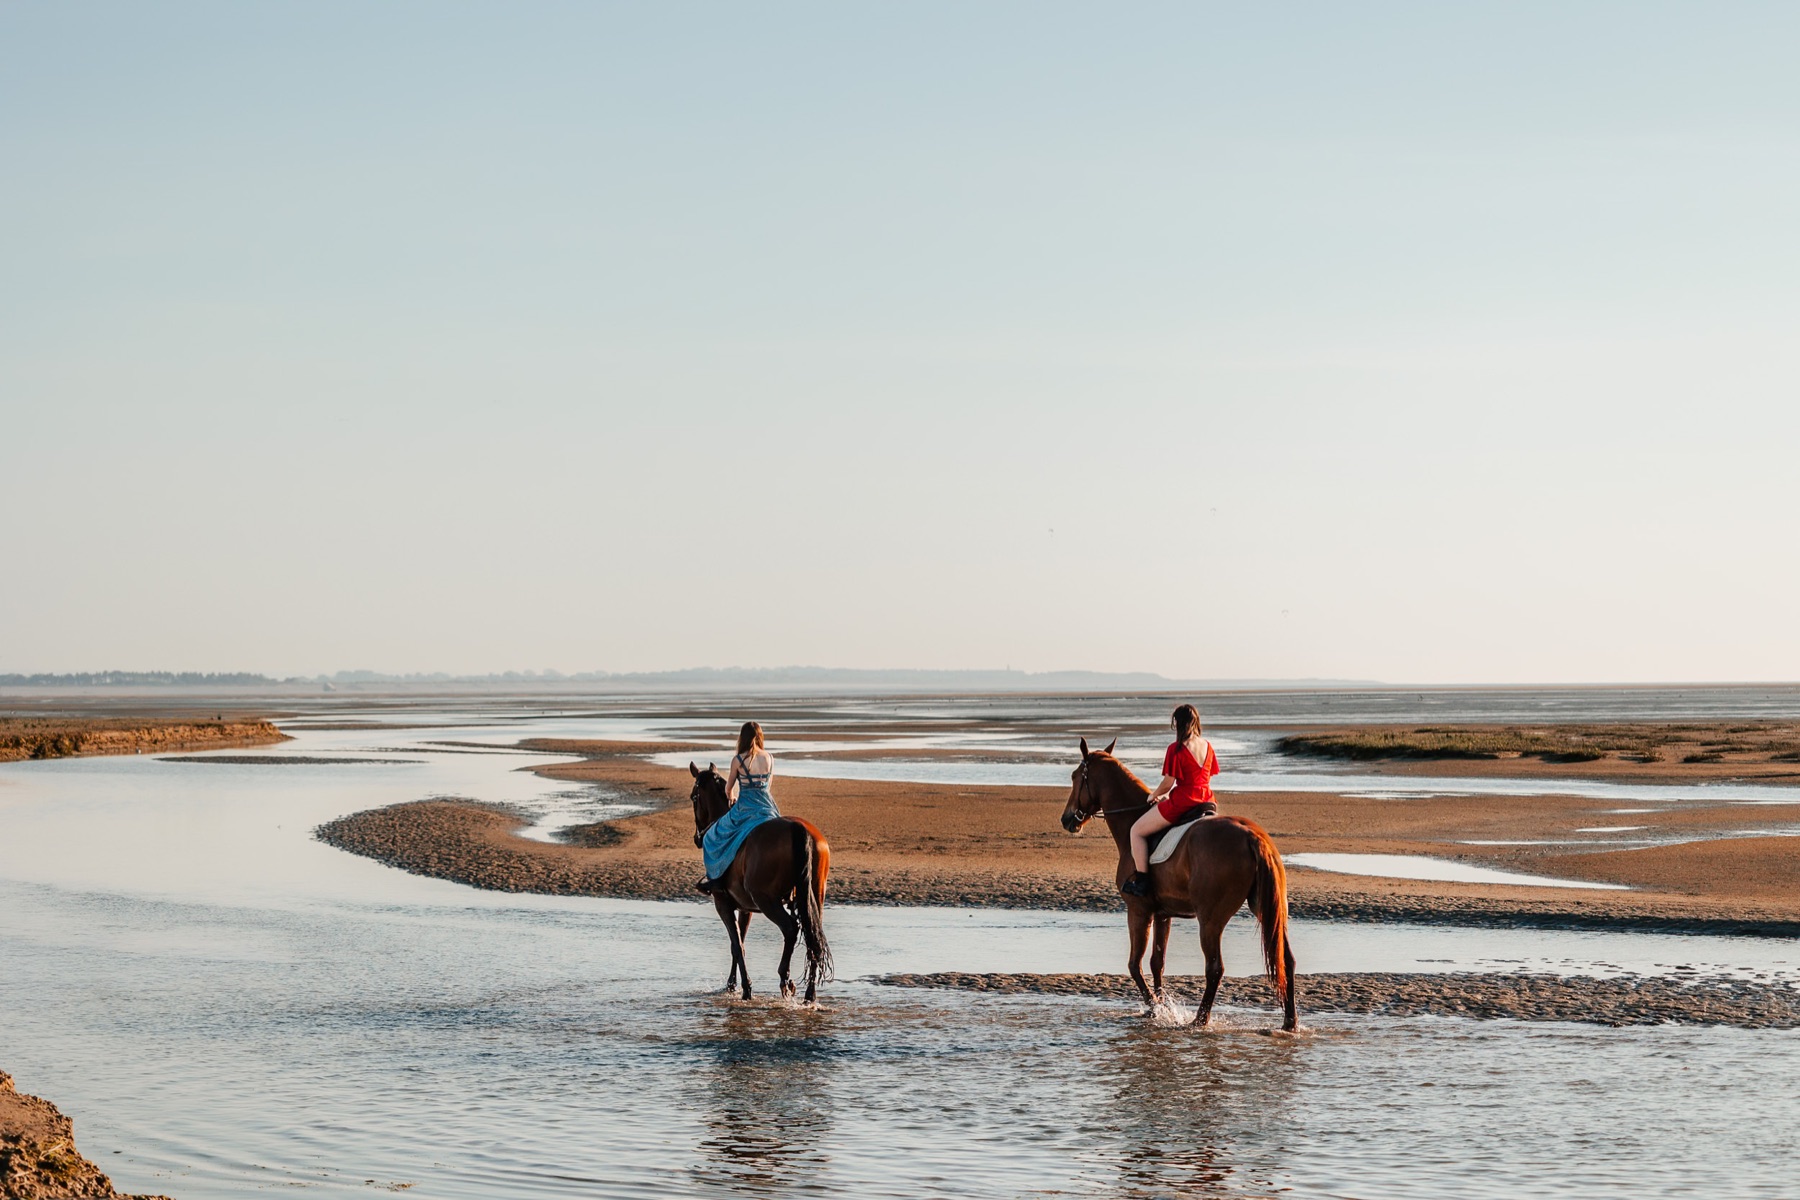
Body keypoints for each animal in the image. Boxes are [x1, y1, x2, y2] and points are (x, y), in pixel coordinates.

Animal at [689, 762, 834, 1003]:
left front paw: (746, 989)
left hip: (766, 900)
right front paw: (731, 985)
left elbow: (737, 944)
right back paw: (809, 994)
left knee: (791, 928)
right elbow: (739, 944)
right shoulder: (745, 908)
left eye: (693, 797)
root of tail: (798, 828)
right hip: (814, 897)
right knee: (814, 936)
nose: (697, 839)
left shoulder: (723, 904)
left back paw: (785, 980)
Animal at [1060, 738, 1297, 1031]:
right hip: (1268, 909)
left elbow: (1134, 965)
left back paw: (1199, 1020)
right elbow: (1157, 962)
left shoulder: (1138, 911)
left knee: (1215, 968)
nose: (1067, 819)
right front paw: (1160, 1006)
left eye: (1074, 777)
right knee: (1286, 960)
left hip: (1210, 919)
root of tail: (1252, 836)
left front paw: (1156, 1008)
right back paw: (1290, 1023)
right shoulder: (1163, 914)